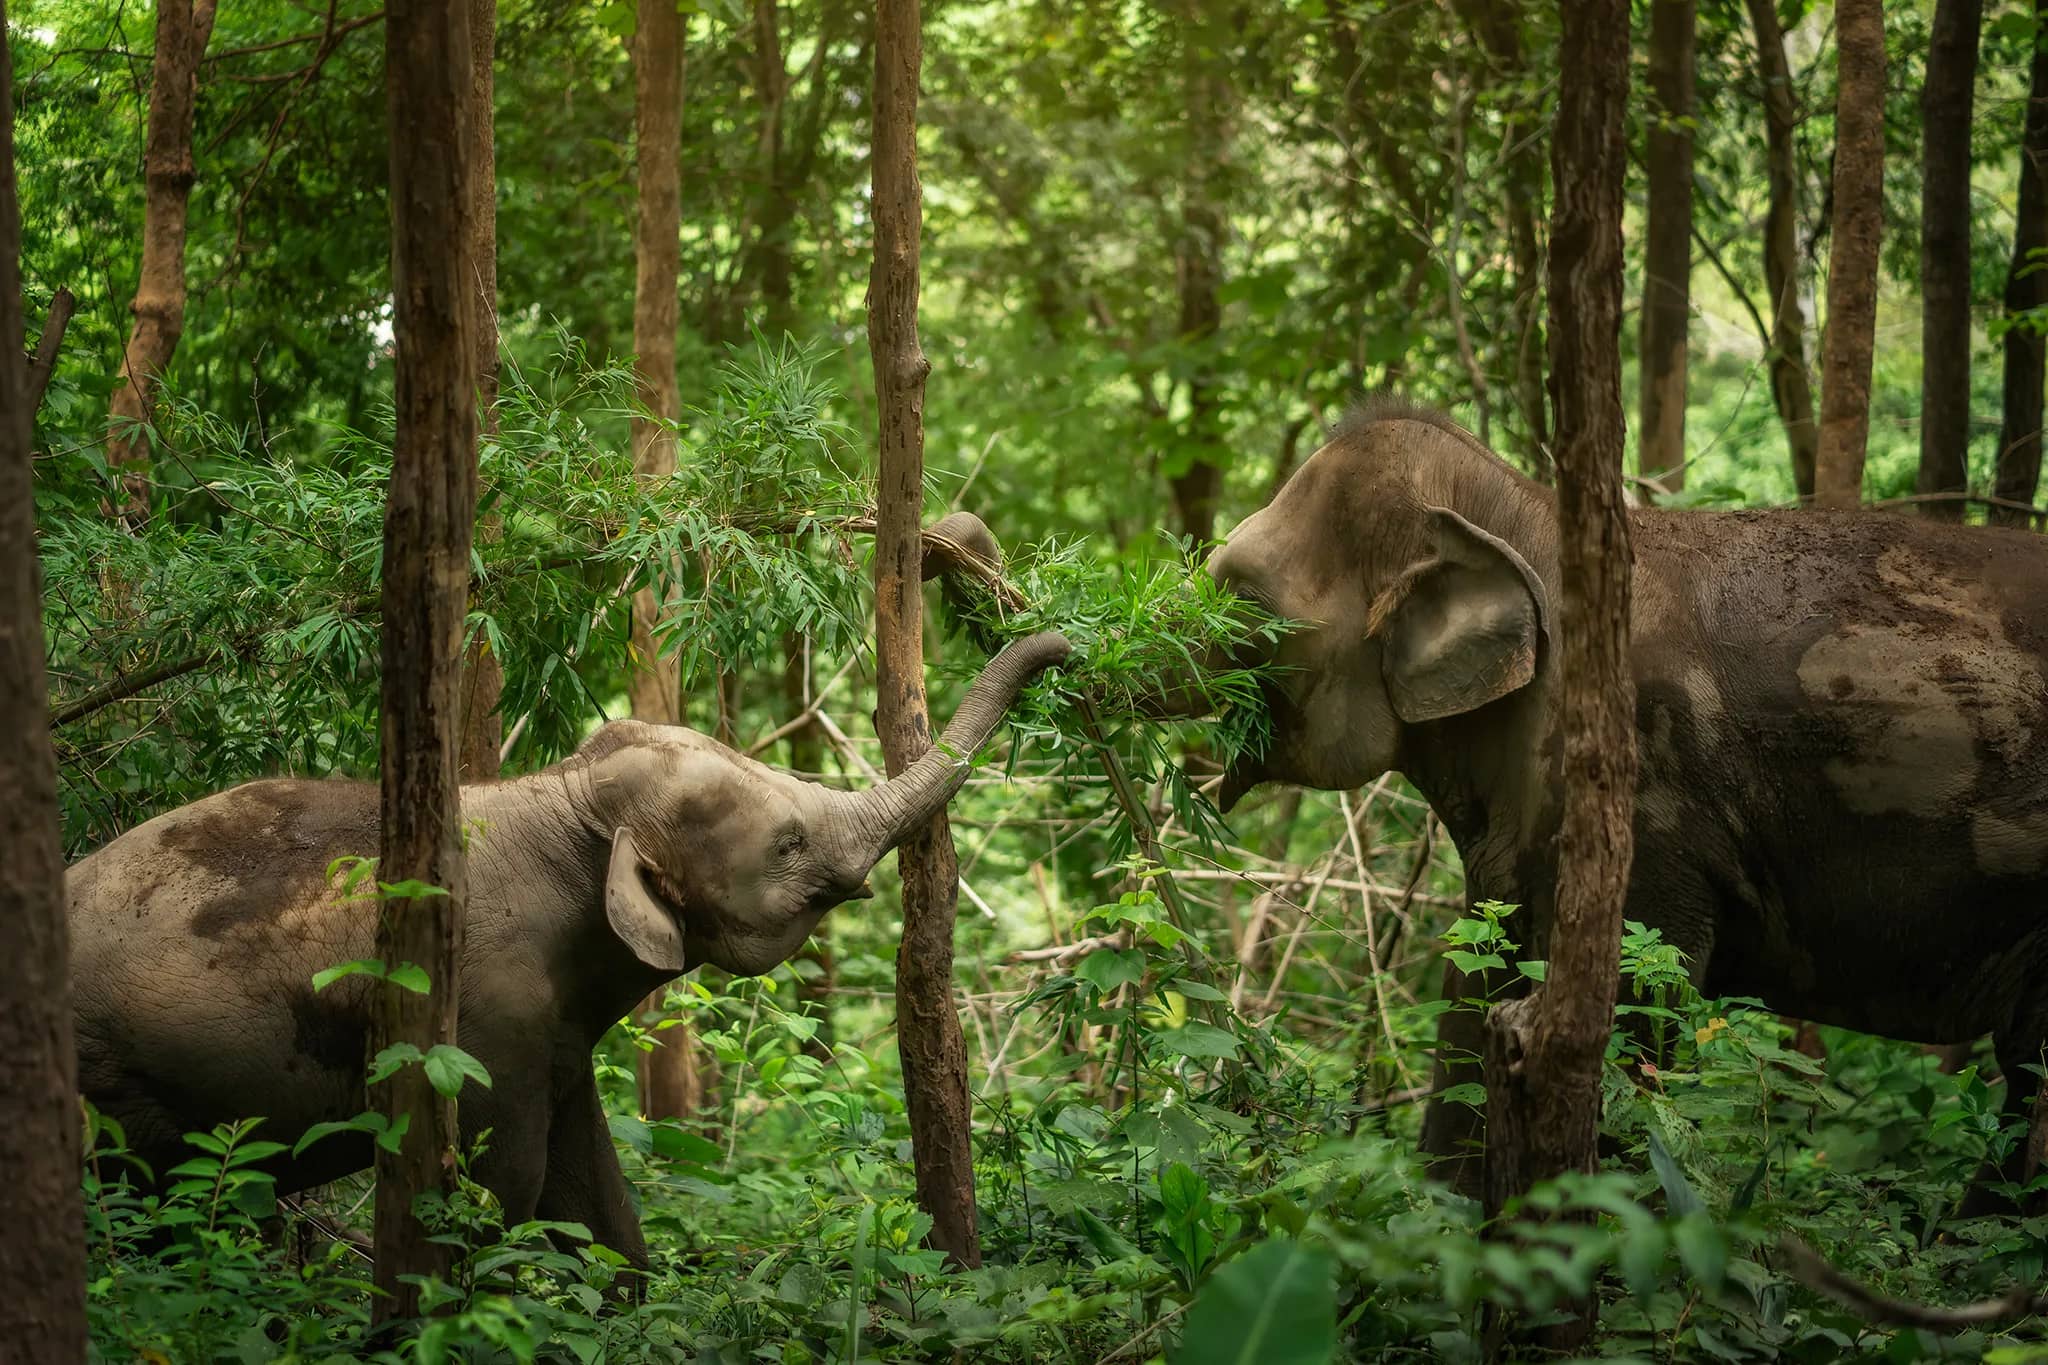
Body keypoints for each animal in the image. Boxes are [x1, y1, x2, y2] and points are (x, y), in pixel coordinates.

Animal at [67, 628, 1071, 1271]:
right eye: (788, 843)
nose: (1065, 646)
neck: (563, 795)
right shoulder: (485, 1017)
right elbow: (501, 1188)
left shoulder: (554, 1037)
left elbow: (595, 1195)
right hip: (117, 1085)